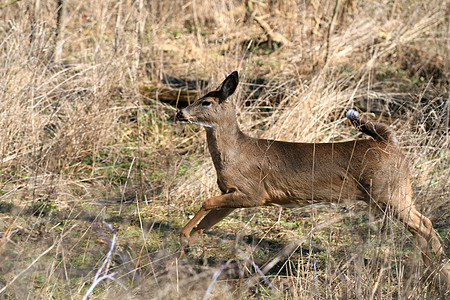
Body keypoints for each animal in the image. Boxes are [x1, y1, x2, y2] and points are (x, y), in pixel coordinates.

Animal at [174, 71, 448, 286]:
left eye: (206, 102)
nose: (179, 113)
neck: (235, 153)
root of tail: (389, 142)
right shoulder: (232, 193)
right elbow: (207, 222)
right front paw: (180, 254)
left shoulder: (253, 192)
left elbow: (206, 202)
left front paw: (183, 236)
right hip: (399, 191)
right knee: (418, 226)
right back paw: (429, 272)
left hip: (387, 192)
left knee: (424, 224)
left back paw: (439, 269)